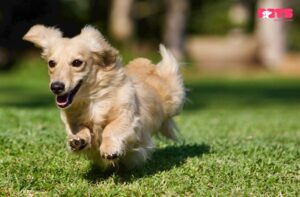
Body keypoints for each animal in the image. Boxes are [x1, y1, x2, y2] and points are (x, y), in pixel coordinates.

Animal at [22, 24, 185, 169]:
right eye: (51, 63)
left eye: (77, 62)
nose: (56, 87)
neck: (92, 99)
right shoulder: (72, 121)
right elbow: (80, 128)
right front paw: (77, 139)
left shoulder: (127, 118)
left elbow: (110, 129)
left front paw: (109, 149)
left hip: (173, 100)